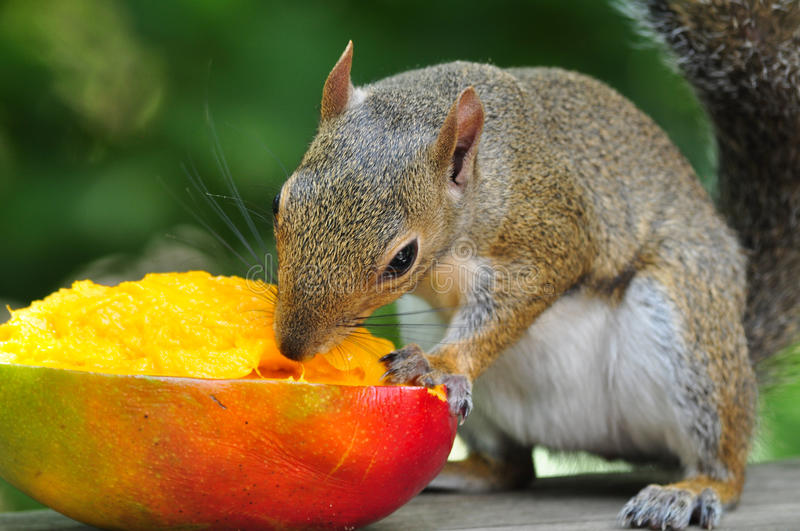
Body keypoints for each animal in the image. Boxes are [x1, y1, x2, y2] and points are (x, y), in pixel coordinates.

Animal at [270, 2, 800, 528]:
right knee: (512, 468)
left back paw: (691, 491)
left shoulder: (551, 232)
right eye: (280, 202)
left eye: (404, 258)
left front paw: (439, 362)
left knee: (725, 460)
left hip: (691, 324)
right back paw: (463, 472)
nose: (293, 347)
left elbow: (519, 299)